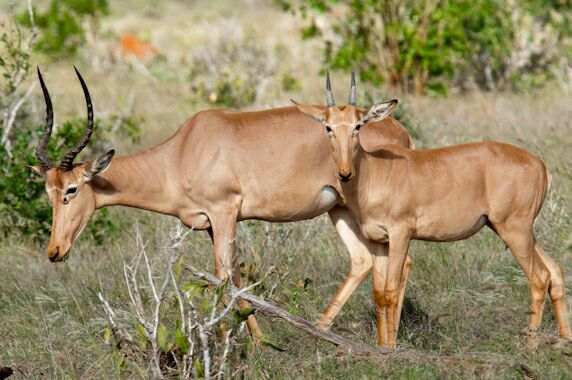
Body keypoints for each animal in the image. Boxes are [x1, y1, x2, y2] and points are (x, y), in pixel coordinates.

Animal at [32, 68, 416, 338]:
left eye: (71, 190)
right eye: (48, 190)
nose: (54, 251)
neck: (184, 149)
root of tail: (400, 131)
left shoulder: (224, 212)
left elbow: (226, 275)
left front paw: (256, 343)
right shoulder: (208, 225)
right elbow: (226, 276)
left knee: (400, 261)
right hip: (340, 210)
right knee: (364, 261)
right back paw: (321, 331)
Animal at [294, 73, 572, 348]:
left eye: (358, 125)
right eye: (328, 127)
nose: (344, 173)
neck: (378, 170)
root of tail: (540, 164)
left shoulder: (401, 233)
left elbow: (391, 291)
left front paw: (390, 350)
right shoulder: (379, 241)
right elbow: (379, 293)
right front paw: (383, 347)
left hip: (514, 230)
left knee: (539, 278)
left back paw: (530, 347)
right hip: (516, 230)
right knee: (555, 271)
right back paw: (563, 340)